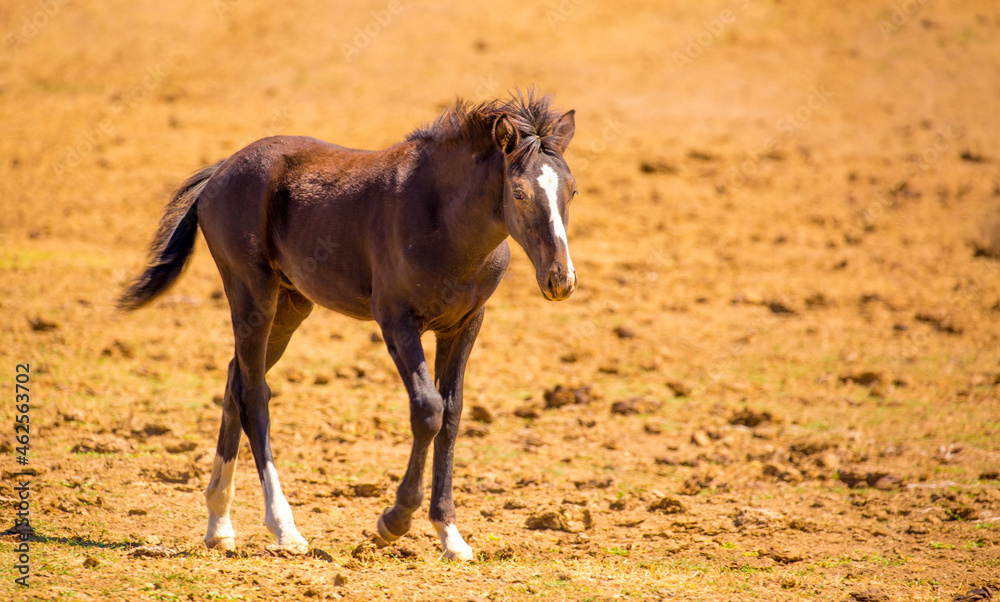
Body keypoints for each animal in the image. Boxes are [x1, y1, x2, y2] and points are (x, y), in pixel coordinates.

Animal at [117, 92, 578, 561]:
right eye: (519, 193)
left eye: (572, 190)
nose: (560, 280)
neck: (445, 223)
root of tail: (221, 171)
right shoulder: (395, 321)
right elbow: (427, 409)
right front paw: (393, 521)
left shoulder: (464, 325)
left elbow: (451, 415)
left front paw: (451, 535)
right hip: (251, 294)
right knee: (254, 395)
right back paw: (284, 529)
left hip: (291, 306)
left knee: (236, 380)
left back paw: (219, 525)